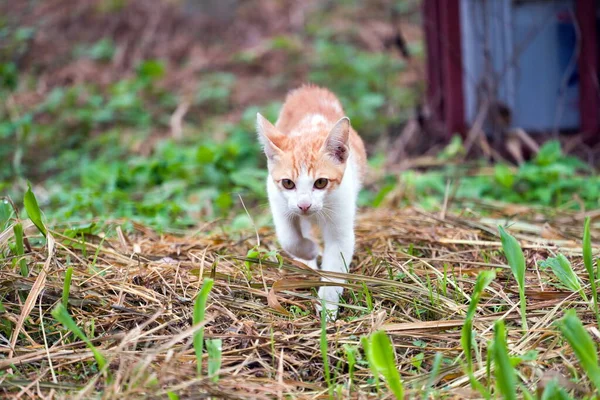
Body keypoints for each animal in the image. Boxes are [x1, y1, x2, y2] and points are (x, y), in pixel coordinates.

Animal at [256, 84, 368, 318]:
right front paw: (309, 250)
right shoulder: (277, 199)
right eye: (288, 183)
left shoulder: (341, 220)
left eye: (321, 182)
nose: (304, 205)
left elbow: (335, 264)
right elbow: (289, 237)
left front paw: (327, 306)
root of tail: (309, 88)